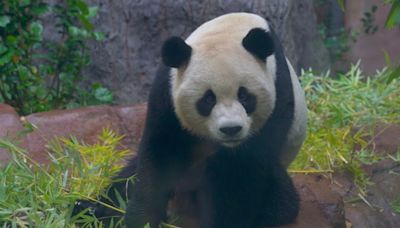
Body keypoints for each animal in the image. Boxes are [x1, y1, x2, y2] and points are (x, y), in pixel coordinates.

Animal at [74, 12, 306, 228]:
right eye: (208, 99)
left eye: (244, 96)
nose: (231, 129)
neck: (231, 27)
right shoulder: (167, 92)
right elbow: (159, 155)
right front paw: (141, 219)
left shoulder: (277, 93)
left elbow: (243, 172)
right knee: (125, 179)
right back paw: (89, 210)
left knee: (280, 200)